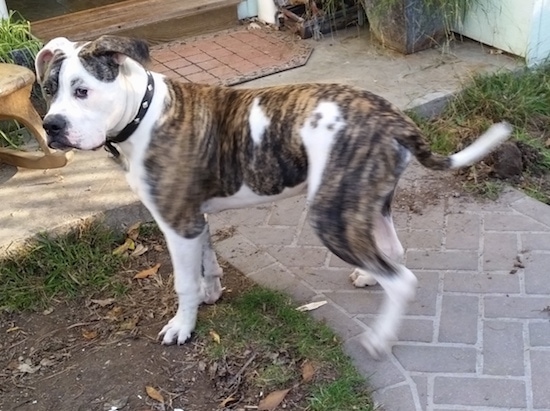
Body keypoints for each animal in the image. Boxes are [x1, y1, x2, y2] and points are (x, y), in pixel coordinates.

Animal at [36, 35, 516, 358]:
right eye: (48, 90)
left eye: (82, 90)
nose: (51, 126)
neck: (144, 111)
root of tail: (390, 114)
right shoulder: (195, 218)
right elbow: (208, 263)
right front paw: (212, 293)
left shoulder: (177, 222)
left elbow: (183, 282)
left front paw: (183, 326)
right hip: (365, 199)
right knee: (392, 248)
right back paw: (368, 276)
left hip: (328, 213)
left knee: (402, 280)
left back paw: (381, 338)